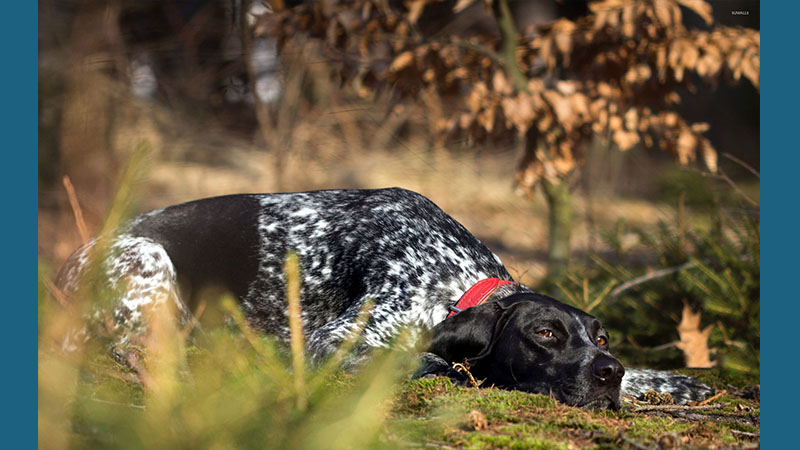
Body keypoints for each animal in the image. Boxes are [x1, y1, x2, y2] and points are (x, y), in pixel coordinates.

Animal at [56, 186, 712, 408]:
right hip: (150, 263)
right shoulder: (331, 342)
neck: (455, 280)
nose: (607, 373)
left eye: (602, 338)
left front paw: (673, 382)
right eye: (544, 334)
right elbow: (423, 359)